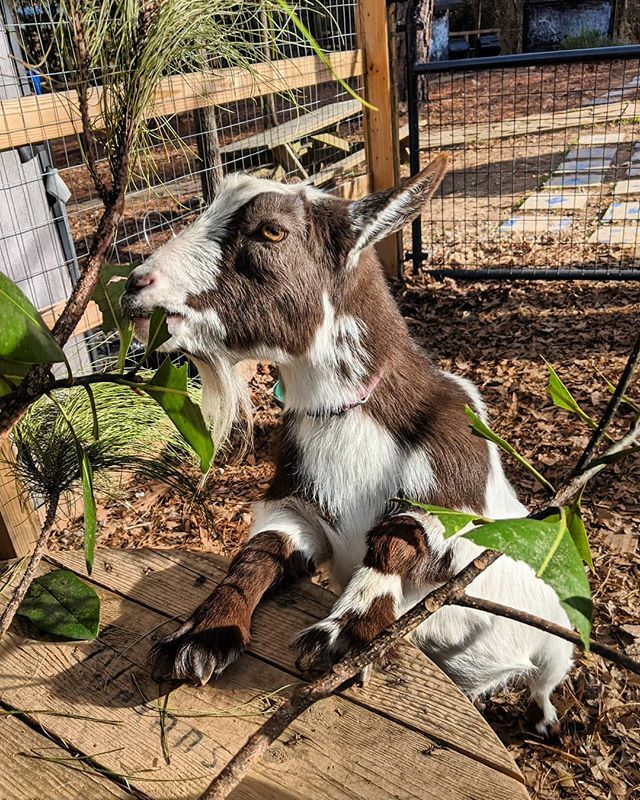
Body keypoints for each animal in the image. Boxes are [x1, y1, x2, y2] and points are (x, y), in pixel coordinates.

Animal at [121, 154, 573, 735]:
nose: (136, 284)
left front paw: (340, 638)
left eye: (272, 230)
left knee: (544, 681)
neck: (355, 416)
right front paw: (200, 636)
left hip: (559, 642)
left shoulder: (455, 500)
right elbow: (255, 553)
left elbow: (398, 541)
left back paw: (545, 721)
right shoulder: (296, 505)